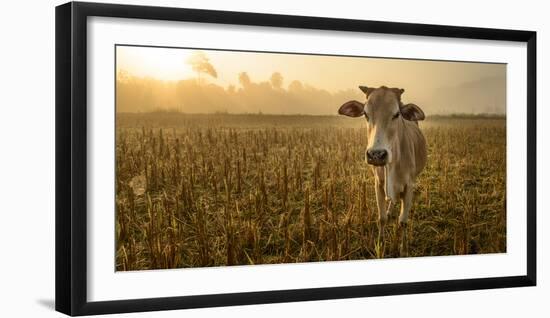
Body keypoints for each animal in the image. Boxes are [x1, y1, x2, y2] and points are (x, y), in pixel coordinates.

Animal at [338, 85, 430, 256]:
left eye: (396, 114)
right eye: (365, 114)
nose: (376, 155)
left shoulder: (409, 186)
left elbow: (403, 221)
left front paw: (404, 248)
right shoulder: (379, 184)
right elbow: (381, 218)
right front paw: (380, 244)